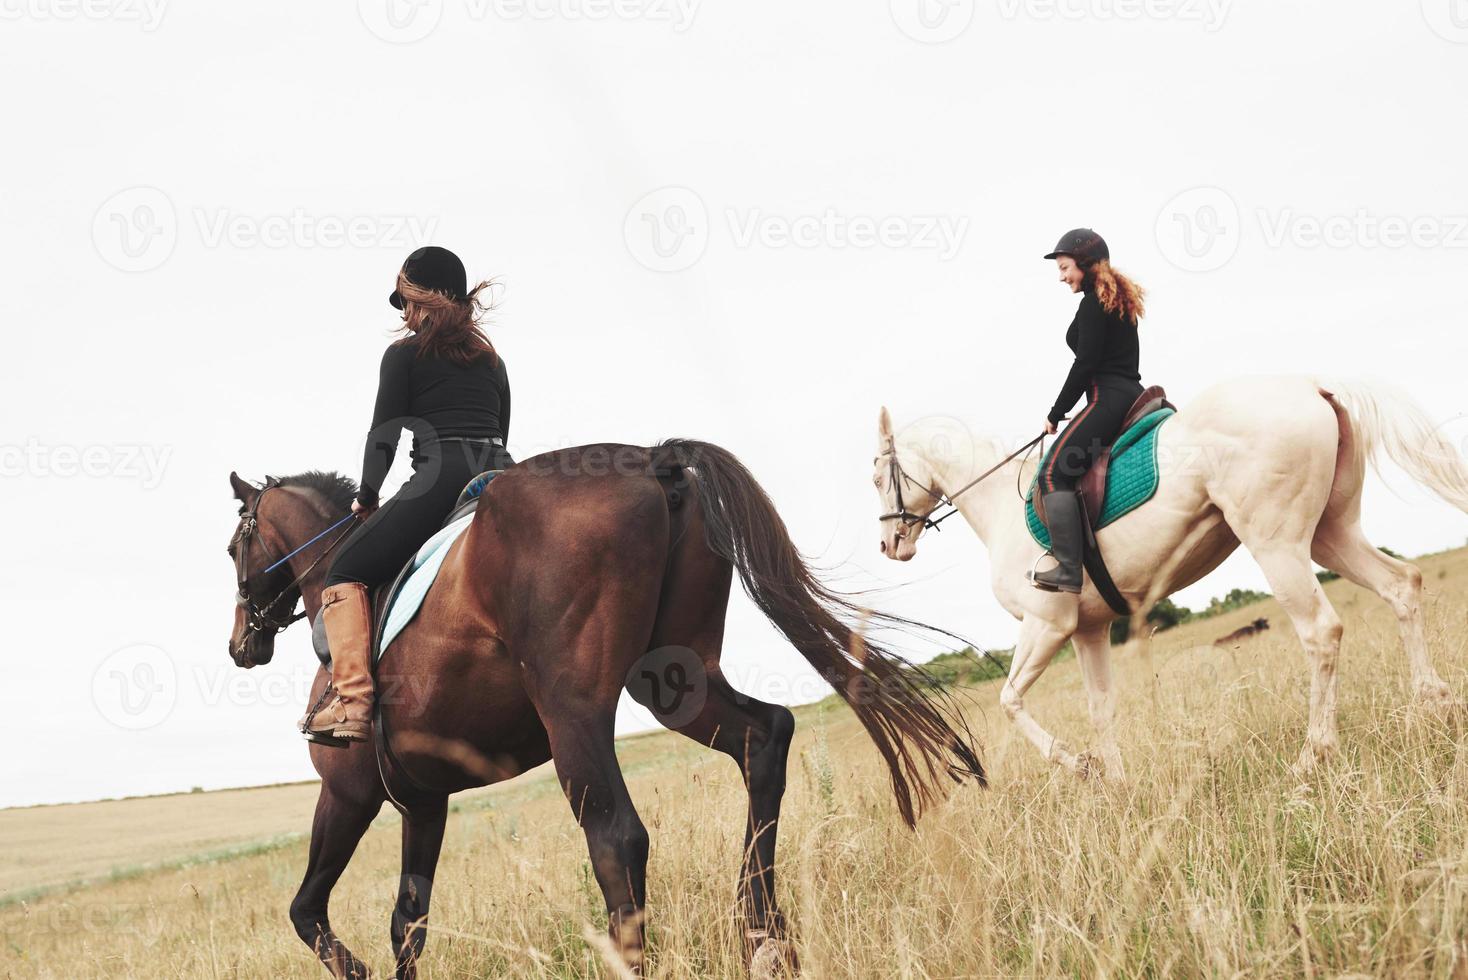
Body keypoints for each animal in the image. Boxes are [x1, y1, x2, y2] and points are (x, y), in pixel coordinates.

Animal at [226, 443, 986, 979]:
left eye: (235, 546)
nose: (241, 645)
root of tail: (652, 461)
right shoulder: (424, 800)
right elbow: (407, 924)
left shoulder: (349, 792)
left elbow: (307, 911)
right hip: (675, 685)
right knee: (766, 738)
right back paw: (762, 938)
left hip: (575, 715)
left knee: (618, 838)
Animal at [869, 375, 1468, 780]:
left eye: (876, 476)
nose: (890, 545)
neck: (1001, 508)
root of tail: (1312, 387)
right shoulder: (1088, 631)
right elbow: (1100, 706)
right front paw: (1116, 783)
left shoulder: (1047, 625)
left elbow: (1009, 701)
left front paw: (1078, 764)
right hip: (1331, 533)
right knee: (1401, 586)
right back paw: (1432, 705)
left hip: (1277, 545)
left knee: (1321, 632)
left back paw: (1311, 756)